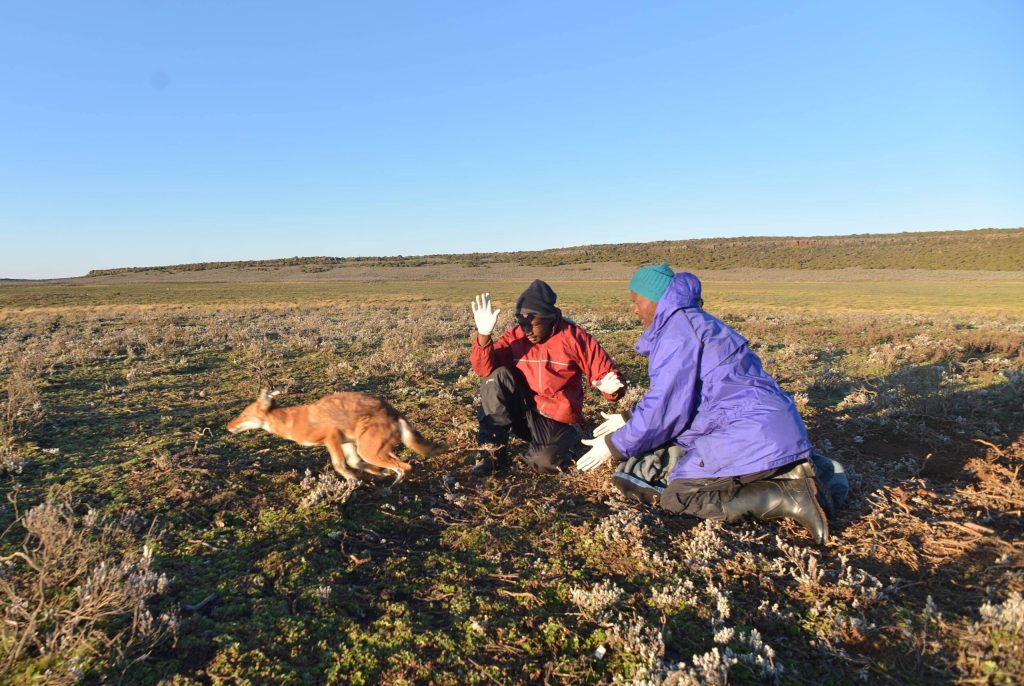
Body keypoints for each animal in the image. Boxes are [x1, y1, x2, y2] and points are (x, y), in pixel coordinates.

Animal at [226, 389, 446, 486]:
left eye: (244, 415)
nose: (228, 427)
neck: (292, 421)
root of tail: (395, 411)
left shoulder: (331, 437)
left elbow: (340, 465)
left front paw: (352, 481)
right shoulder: (346, 442)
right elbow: (354, 463)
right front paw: (376, 473)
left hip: (369, 449)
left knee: (405, 467)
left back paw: (389, 489)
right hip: (371, 447)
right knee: (396, 463)